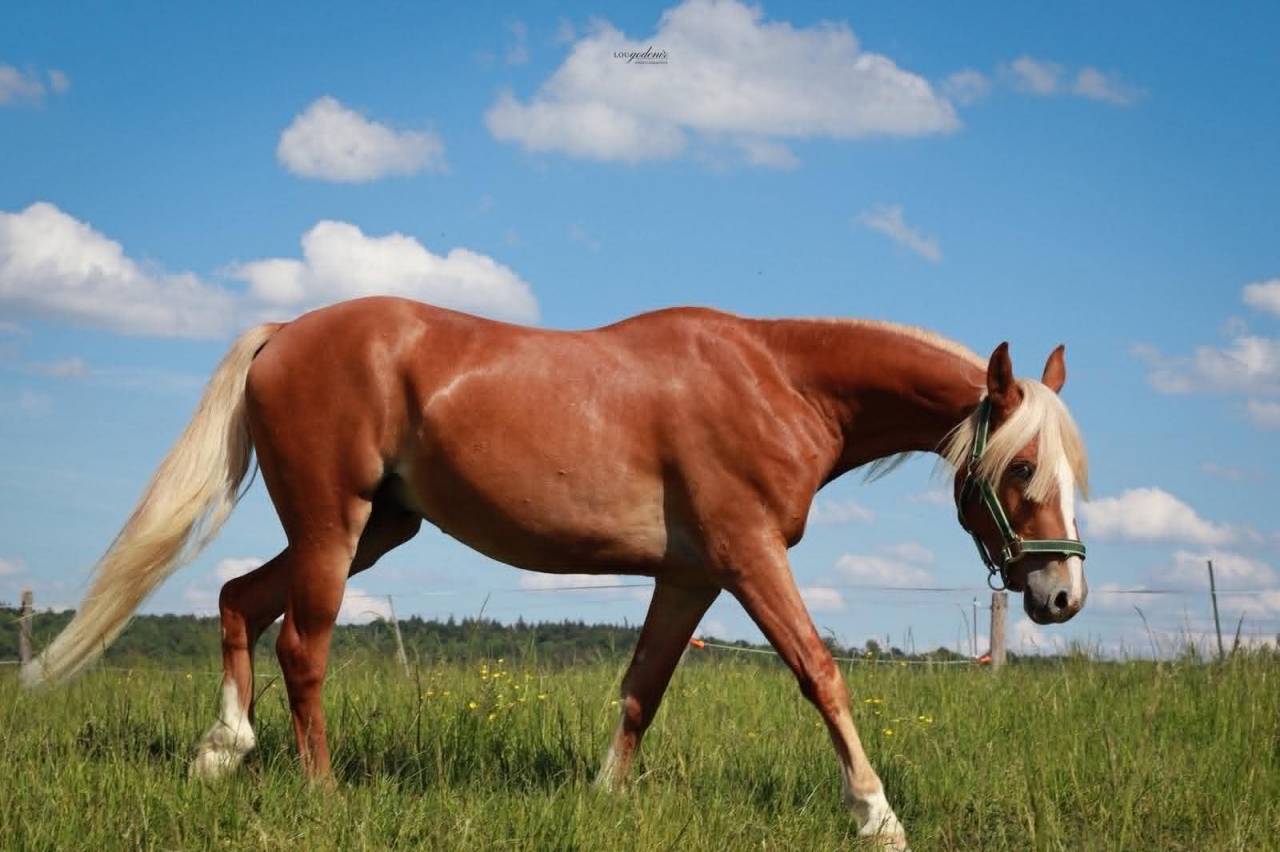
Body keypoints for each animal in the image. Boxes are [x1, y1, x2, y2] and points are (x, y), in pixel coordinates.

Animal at [23, 297, 1089, 849]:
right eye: (1021, 470)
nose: (1062, 596)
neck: (776, 380)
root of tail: (286, 331)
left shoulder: (692, 575)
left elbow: (642, 687)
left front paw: (605, 798)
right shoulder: (748, 555)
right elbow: (821, 673)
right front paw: (878, 816)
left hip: (379, 529)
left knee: (239, 601)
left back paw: (222, 750)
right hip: (336, 527)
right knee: (303, 647)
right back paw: (320, 794)